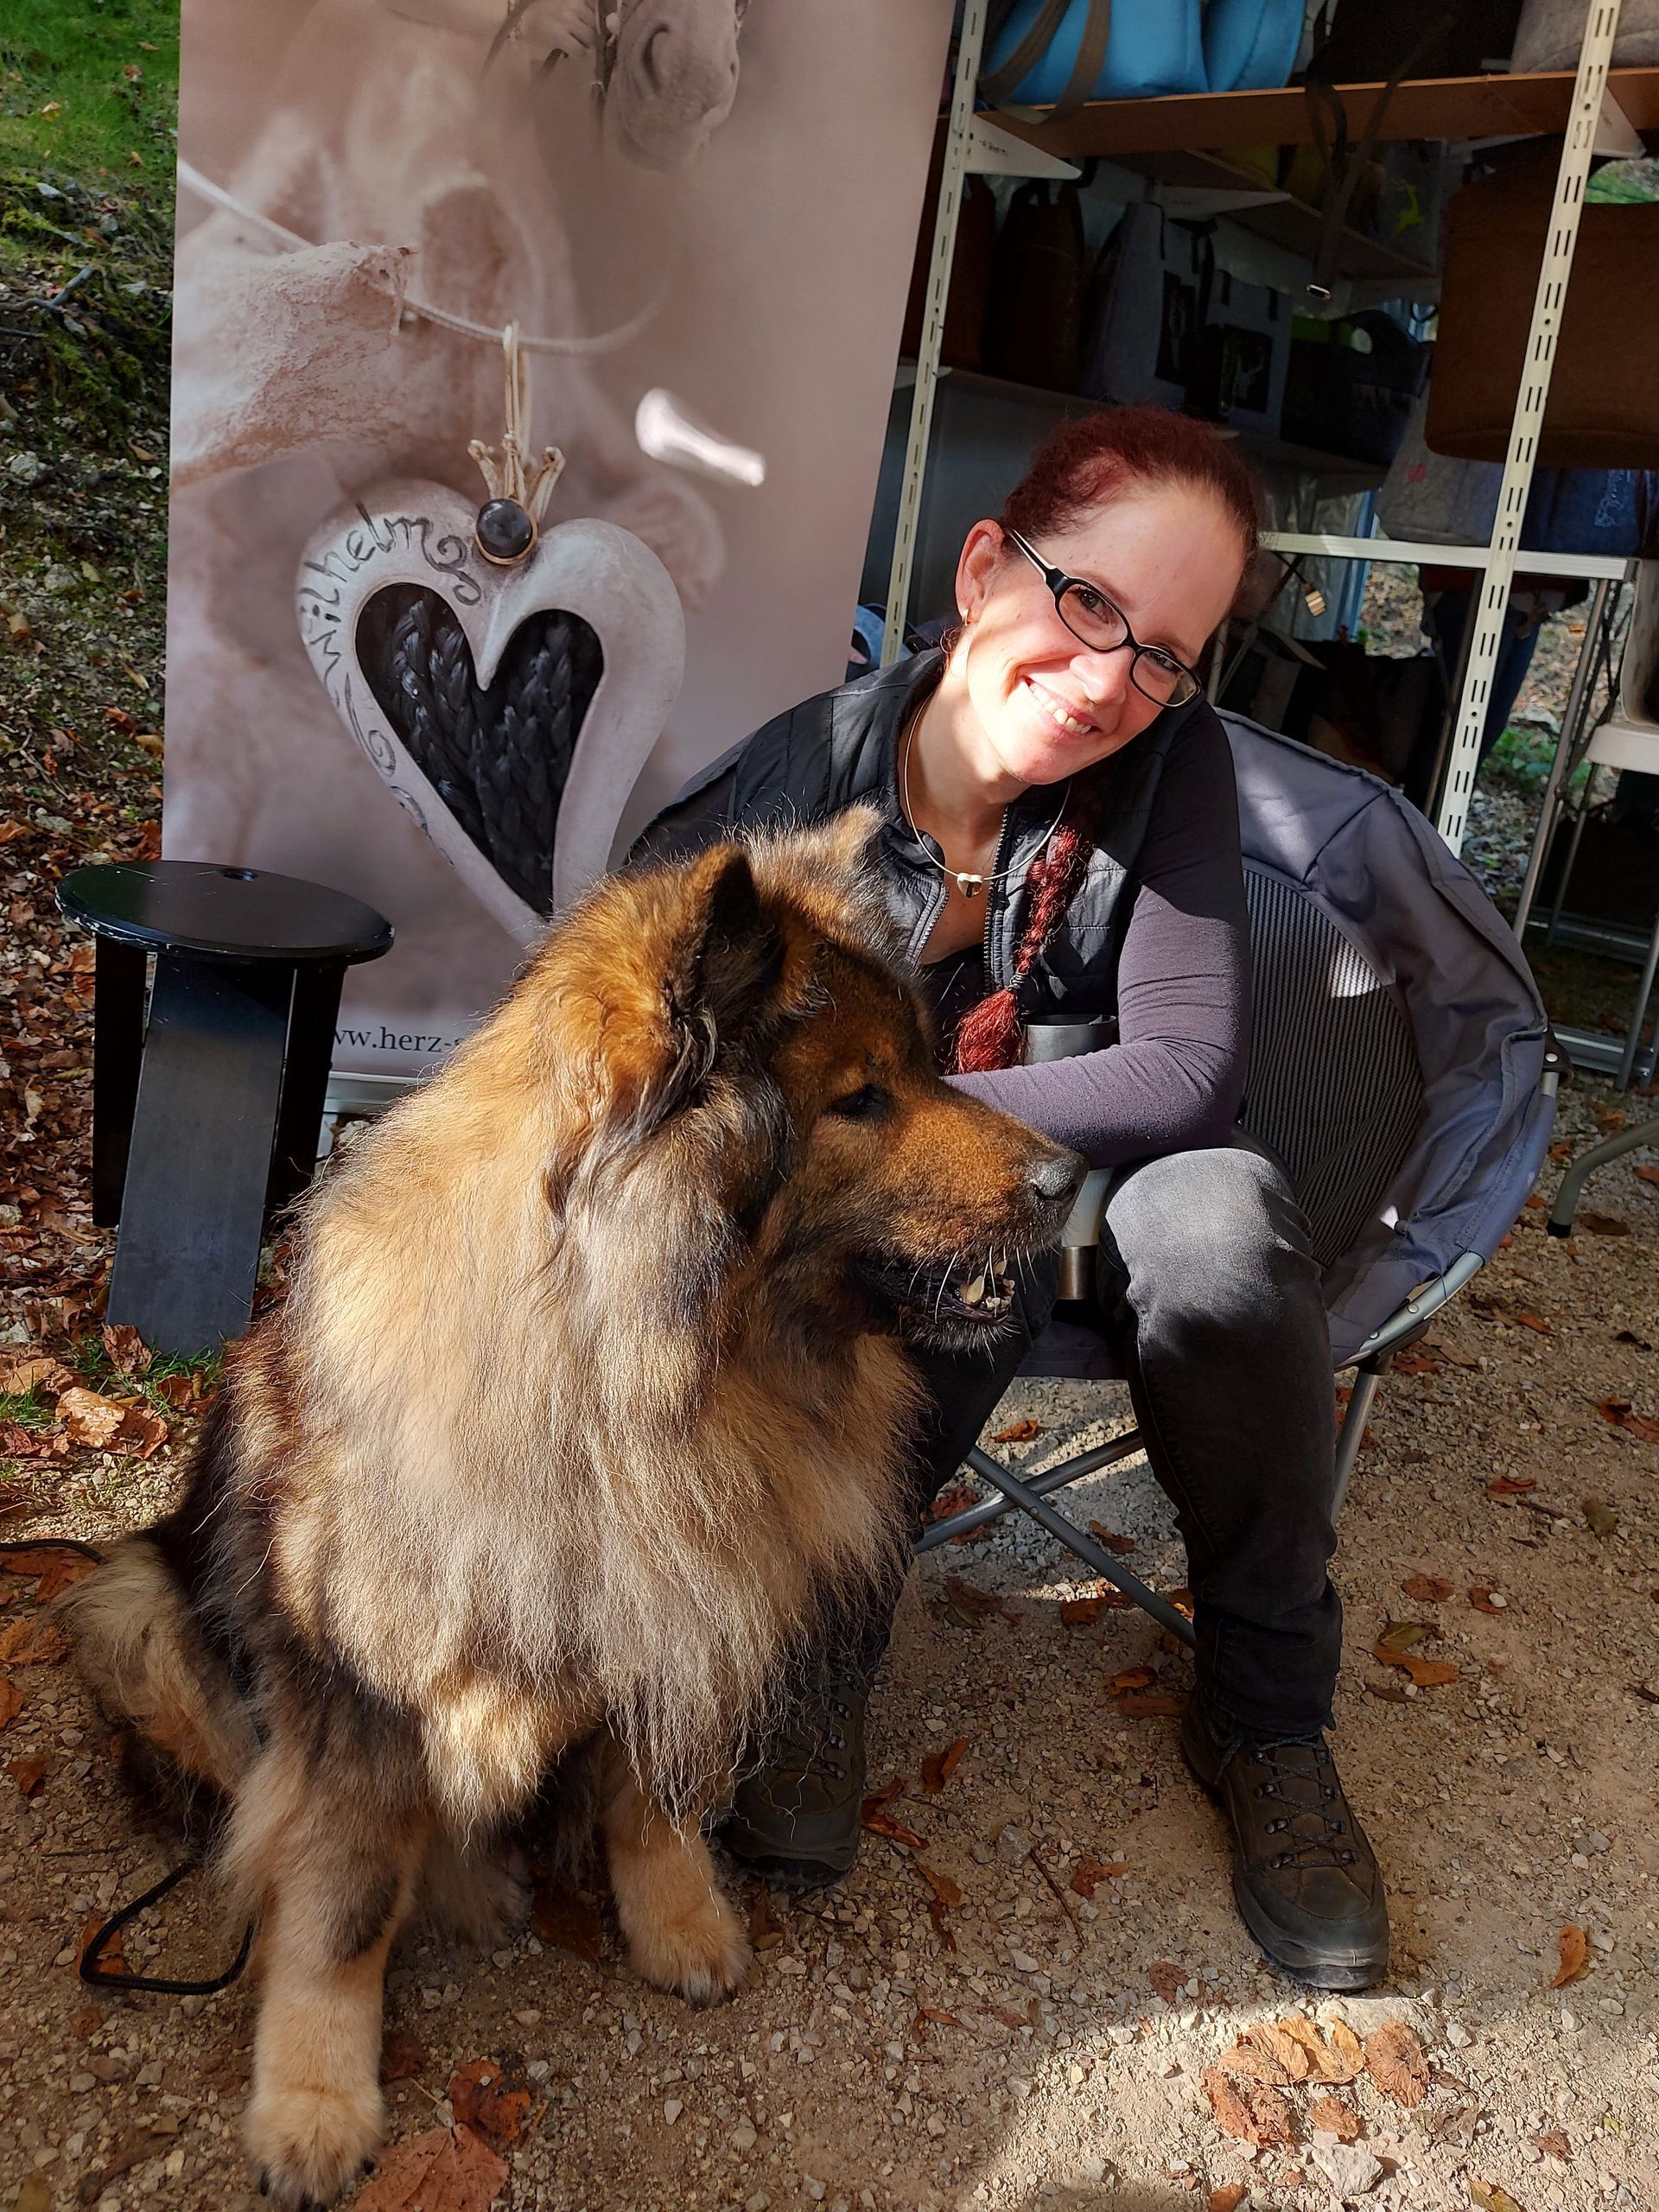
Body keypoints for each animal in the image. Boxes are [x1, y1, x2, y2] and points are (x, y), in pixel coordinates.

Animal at [65, 818, 1084, 2212]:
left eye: (931, 1067)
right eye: (863, 1097)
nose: (1071, 1174)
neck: (639, 1378)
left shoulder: (663, 1621)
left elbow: (649, 1801)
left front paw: (683, 1923)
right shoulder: (357, 1701)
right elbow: (337, 1909)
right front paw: (316, 2101)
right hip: (136, 1609)